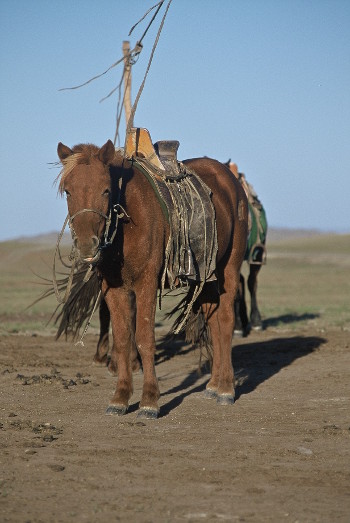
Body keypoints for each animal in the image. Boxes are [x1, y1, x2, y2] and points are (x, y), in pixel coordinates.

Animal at [56, 138, 247, 418]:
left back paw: (226, 389)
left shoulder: (146, 283)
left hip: (229, 269)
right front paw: (120, 397)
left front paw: (149, 401)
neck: (127, 222)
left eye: (105, 190)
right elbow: (122, 339)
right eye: (68, 191)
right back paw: (213, 384)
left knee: (226, 321)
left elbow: (145, 338)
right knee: (213, 321)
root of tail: (229, 179)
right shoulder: (114, 289)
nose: (87, 246)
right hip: (207, 279)